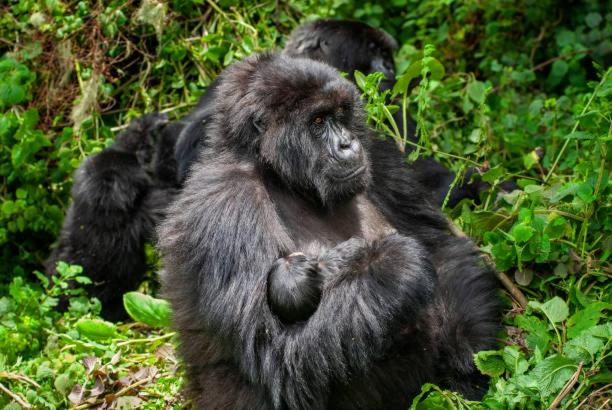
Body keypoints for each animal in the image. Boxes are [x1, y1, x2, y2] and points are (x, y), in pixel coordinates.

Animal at [159, 52, 502, 408]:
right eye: (318, 121)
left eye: (340, 115)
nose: (348, 144)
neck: (277, 173)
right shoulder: (225, 205)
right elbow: (278, 357)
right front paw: (398, 262)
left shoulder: (378, 155)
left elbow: (442, 251)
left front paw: (466, 364)